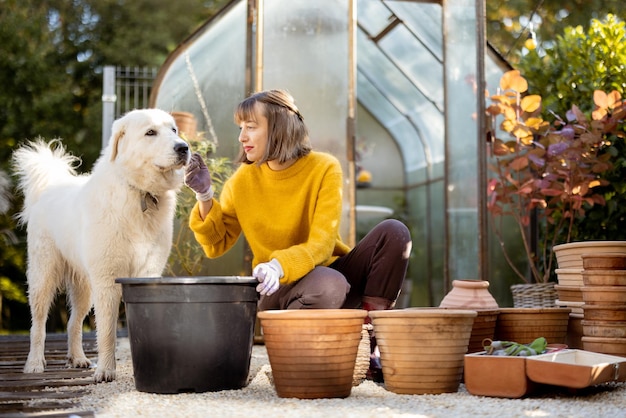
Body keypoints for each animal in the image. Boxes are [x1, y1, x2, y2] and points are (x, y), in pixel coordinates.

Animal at [11, 108, 188, 382]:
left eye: (174, 130)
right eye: (150, 132)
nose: (184, 147)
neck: (138, 192)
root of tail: (51, 185)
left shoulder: (147, 273)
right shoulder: (106, 279)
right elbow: (106, 331)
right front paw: (106, 371)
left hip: (84, 286)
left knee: (73, 322)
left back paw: (78, 359)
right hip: (44, 276)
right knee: (38, 324)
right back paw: (34, 363)